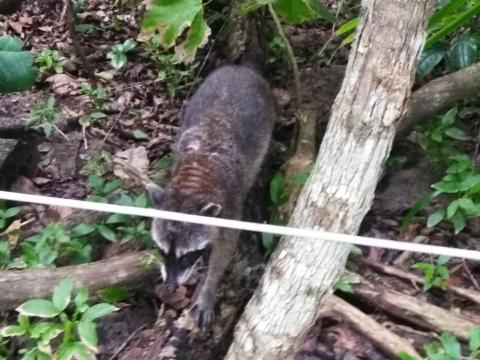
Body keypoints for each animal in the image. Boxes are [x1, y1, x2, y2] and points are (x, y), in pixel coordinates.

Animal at [146, 63, 276, 328]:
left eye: (187, 255)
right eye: (163, 250)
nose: (171, 287)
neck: (190, 187)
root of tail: (240, 68)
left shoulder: (230, 208)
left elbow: (224, 250)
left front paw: (209, 288)